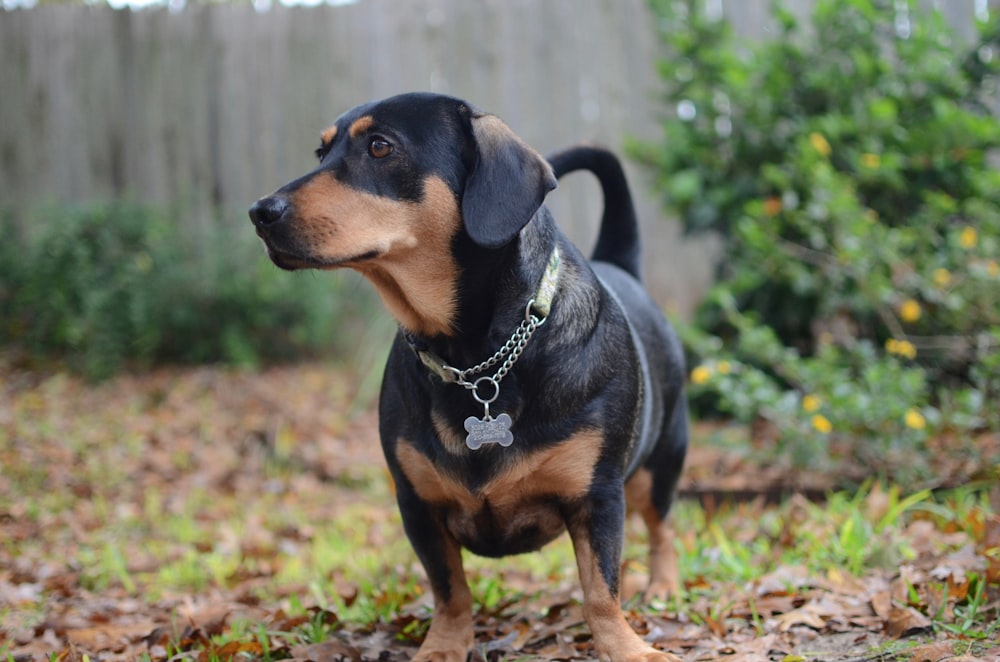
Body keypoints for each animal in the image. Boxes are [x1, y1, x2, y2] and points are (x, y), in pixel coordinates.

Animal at [250, 93, 688, 662]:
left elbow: (600, 589)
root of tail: (623, 267)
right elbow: (451, 590)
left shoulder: (598, 497)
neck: (475, 361)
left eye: (380, 147)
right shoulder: (417, 504)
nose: (260, 213)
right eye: (321, 151)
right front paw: (443, 646)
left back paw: (664, 586)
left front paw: (626, 648)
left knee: (661, 526)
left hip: (662, 463)